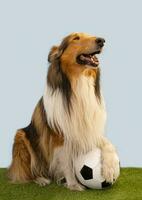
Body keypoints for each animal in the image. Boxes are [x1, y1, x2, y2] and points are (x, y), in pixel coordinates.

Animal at [8, 32, 120, 191]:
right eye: (76, 38)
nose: (102, 41)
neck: (78, 83)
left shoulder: (90, 128)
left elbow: (107, 143)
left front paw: (110, 168)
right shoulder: (60, 136)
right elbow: (67, 161)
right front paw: (73, 184)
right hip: (21, 137)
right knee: (30, 171)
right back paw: (41, 179)